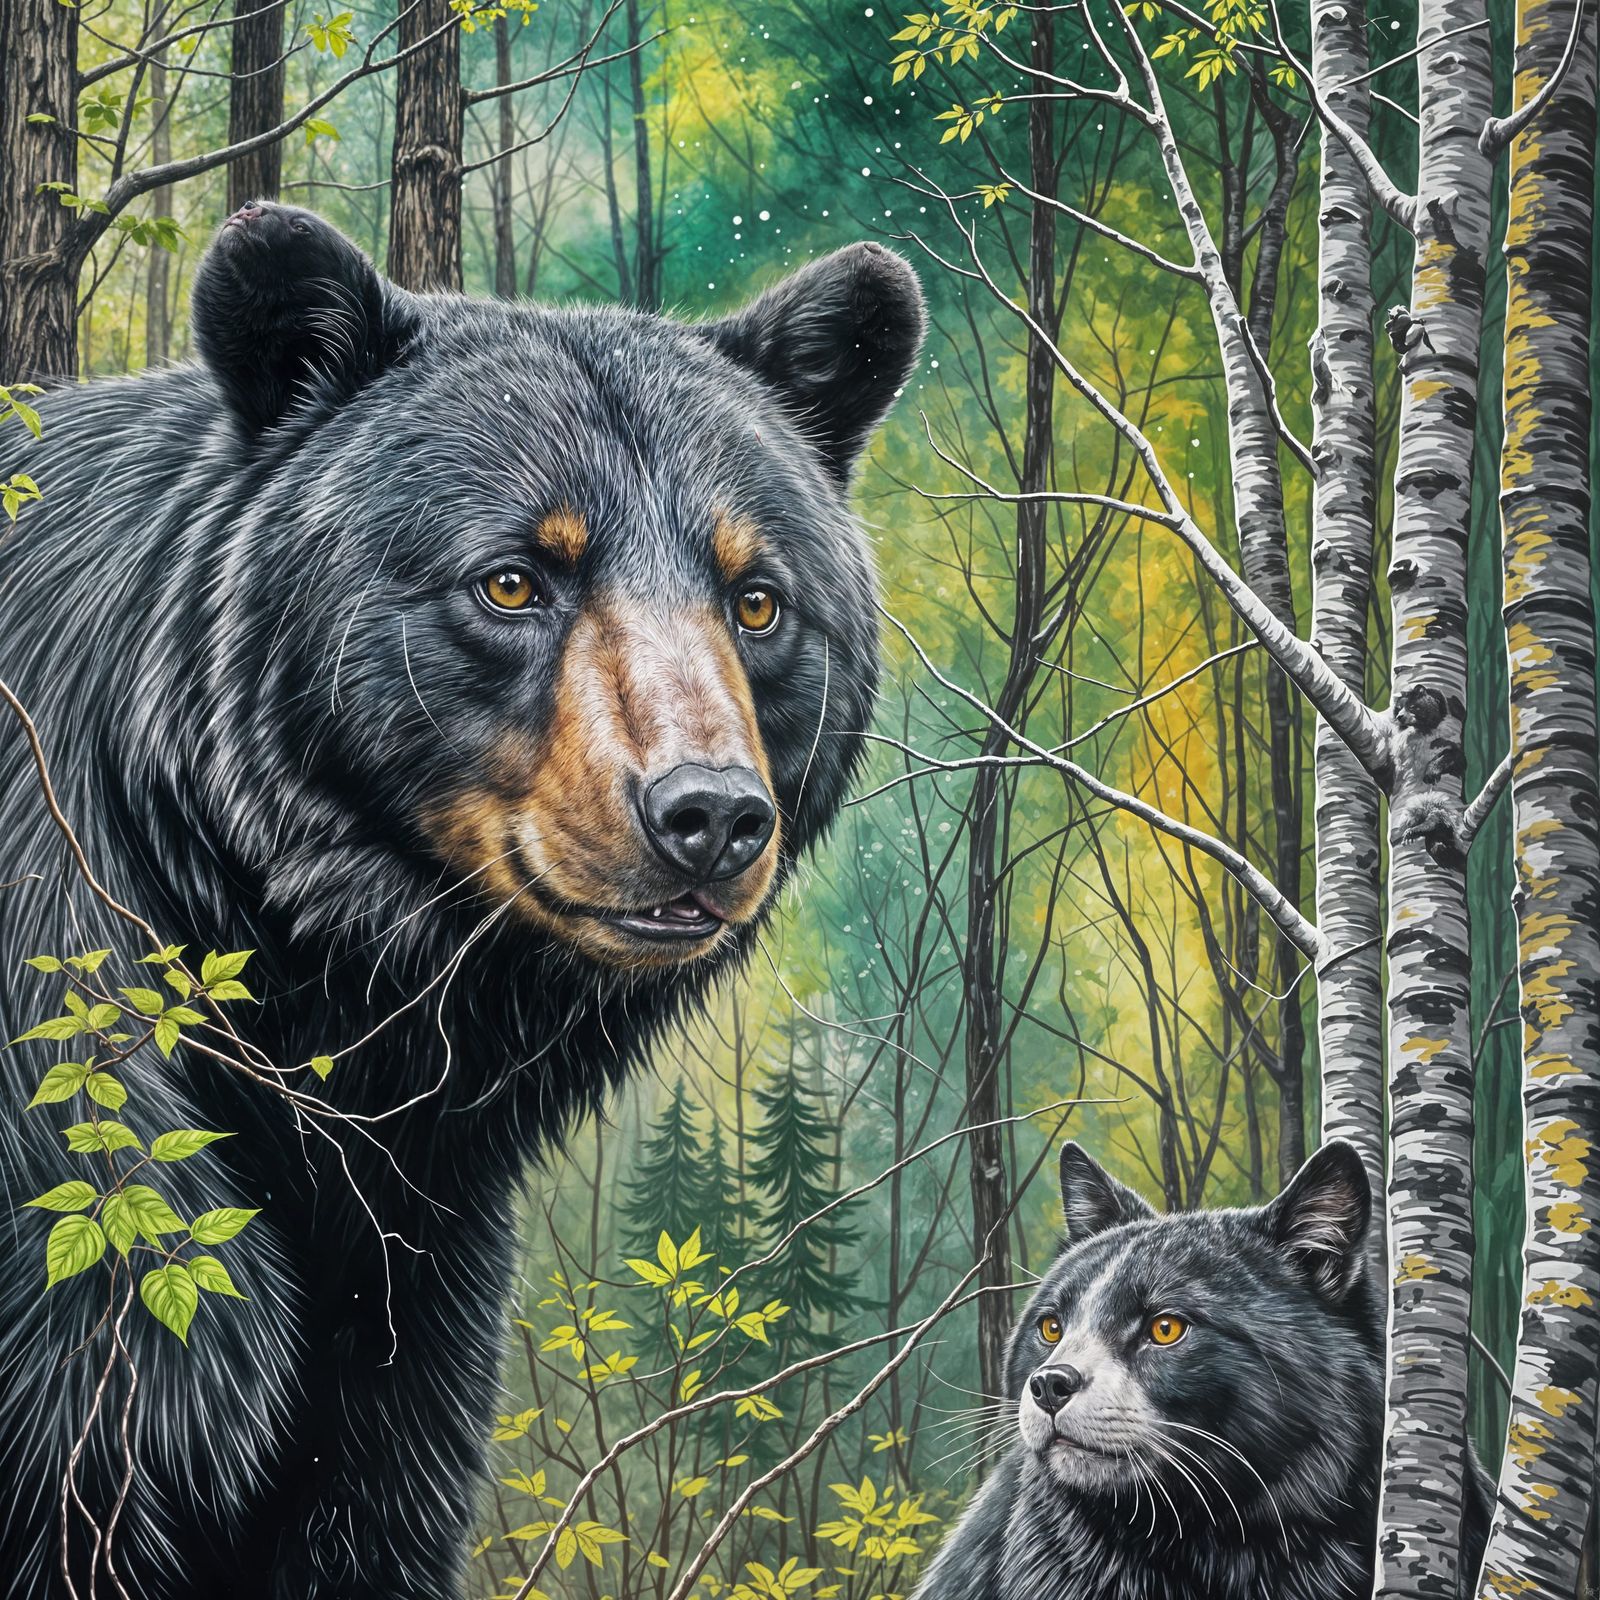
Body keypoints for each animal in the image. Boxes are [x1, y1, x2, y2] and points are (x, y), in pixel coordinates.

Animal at [0, 200, 924, 1599]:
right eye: (511, 579)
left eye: (758, 598)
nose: (708, 817)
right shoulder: (81, 1139)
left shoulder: (413, 1270)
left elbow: (373, 1496)